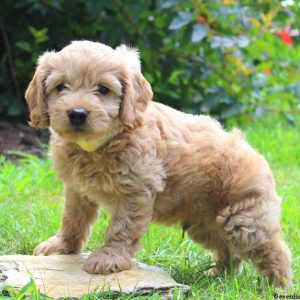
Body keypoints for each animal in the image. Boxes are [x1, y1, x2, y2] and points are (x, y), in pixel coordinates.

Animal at [24, 41, 292, 288]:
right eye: (61, 86)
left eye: (102, 89)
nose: (77, 113)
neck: (96, 146)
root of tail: (255, 152)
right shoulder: (77, 190)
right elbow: (73, 219)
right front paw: (62, 245)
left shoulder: (135, 192)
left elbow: (121, 228)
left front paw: (110, 258)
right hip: (204, 224)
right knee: (228, 250)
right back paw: (220, 276)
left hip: (244, 220)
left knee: (274, 250)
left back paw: (278, 287)